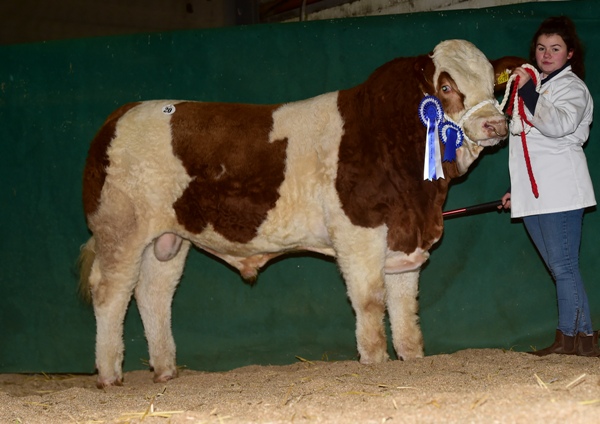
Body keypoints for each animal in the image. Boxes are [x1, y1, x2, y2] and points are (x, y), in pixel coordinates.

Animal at [81, 39, 524, 388]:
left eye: (492, 83)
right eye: (446, 86)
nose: (496, 125)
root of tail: (122, 113)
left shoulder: (405, 241)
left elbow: (405, 313)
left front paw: (411, 362)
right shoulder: (359, 234)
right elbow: (370, 302)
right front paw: (375, 364)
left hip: (167, 240)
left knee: (153, 294)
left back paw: (165, 371)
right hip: (120, 229)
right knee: (110, 293)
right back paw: (109, 375)